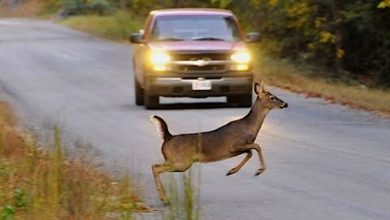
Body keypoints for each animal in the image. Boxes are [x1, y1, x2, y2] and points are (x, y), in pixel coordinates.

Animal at [151, 81, 288, 204]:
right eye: (272, 97)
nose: (285, 104)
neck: (250, 128)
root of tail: (168, 137)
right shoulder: (234, 145)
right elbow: (257, 146)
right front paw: (259, 171)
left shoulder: (237, 149)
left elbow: (250, 152)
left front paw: (231, 171)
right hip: (180, 162)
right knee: (155, 167)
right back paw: (165, 199)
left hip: (178, 162)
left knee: (155, 166)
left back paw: (164, 198)